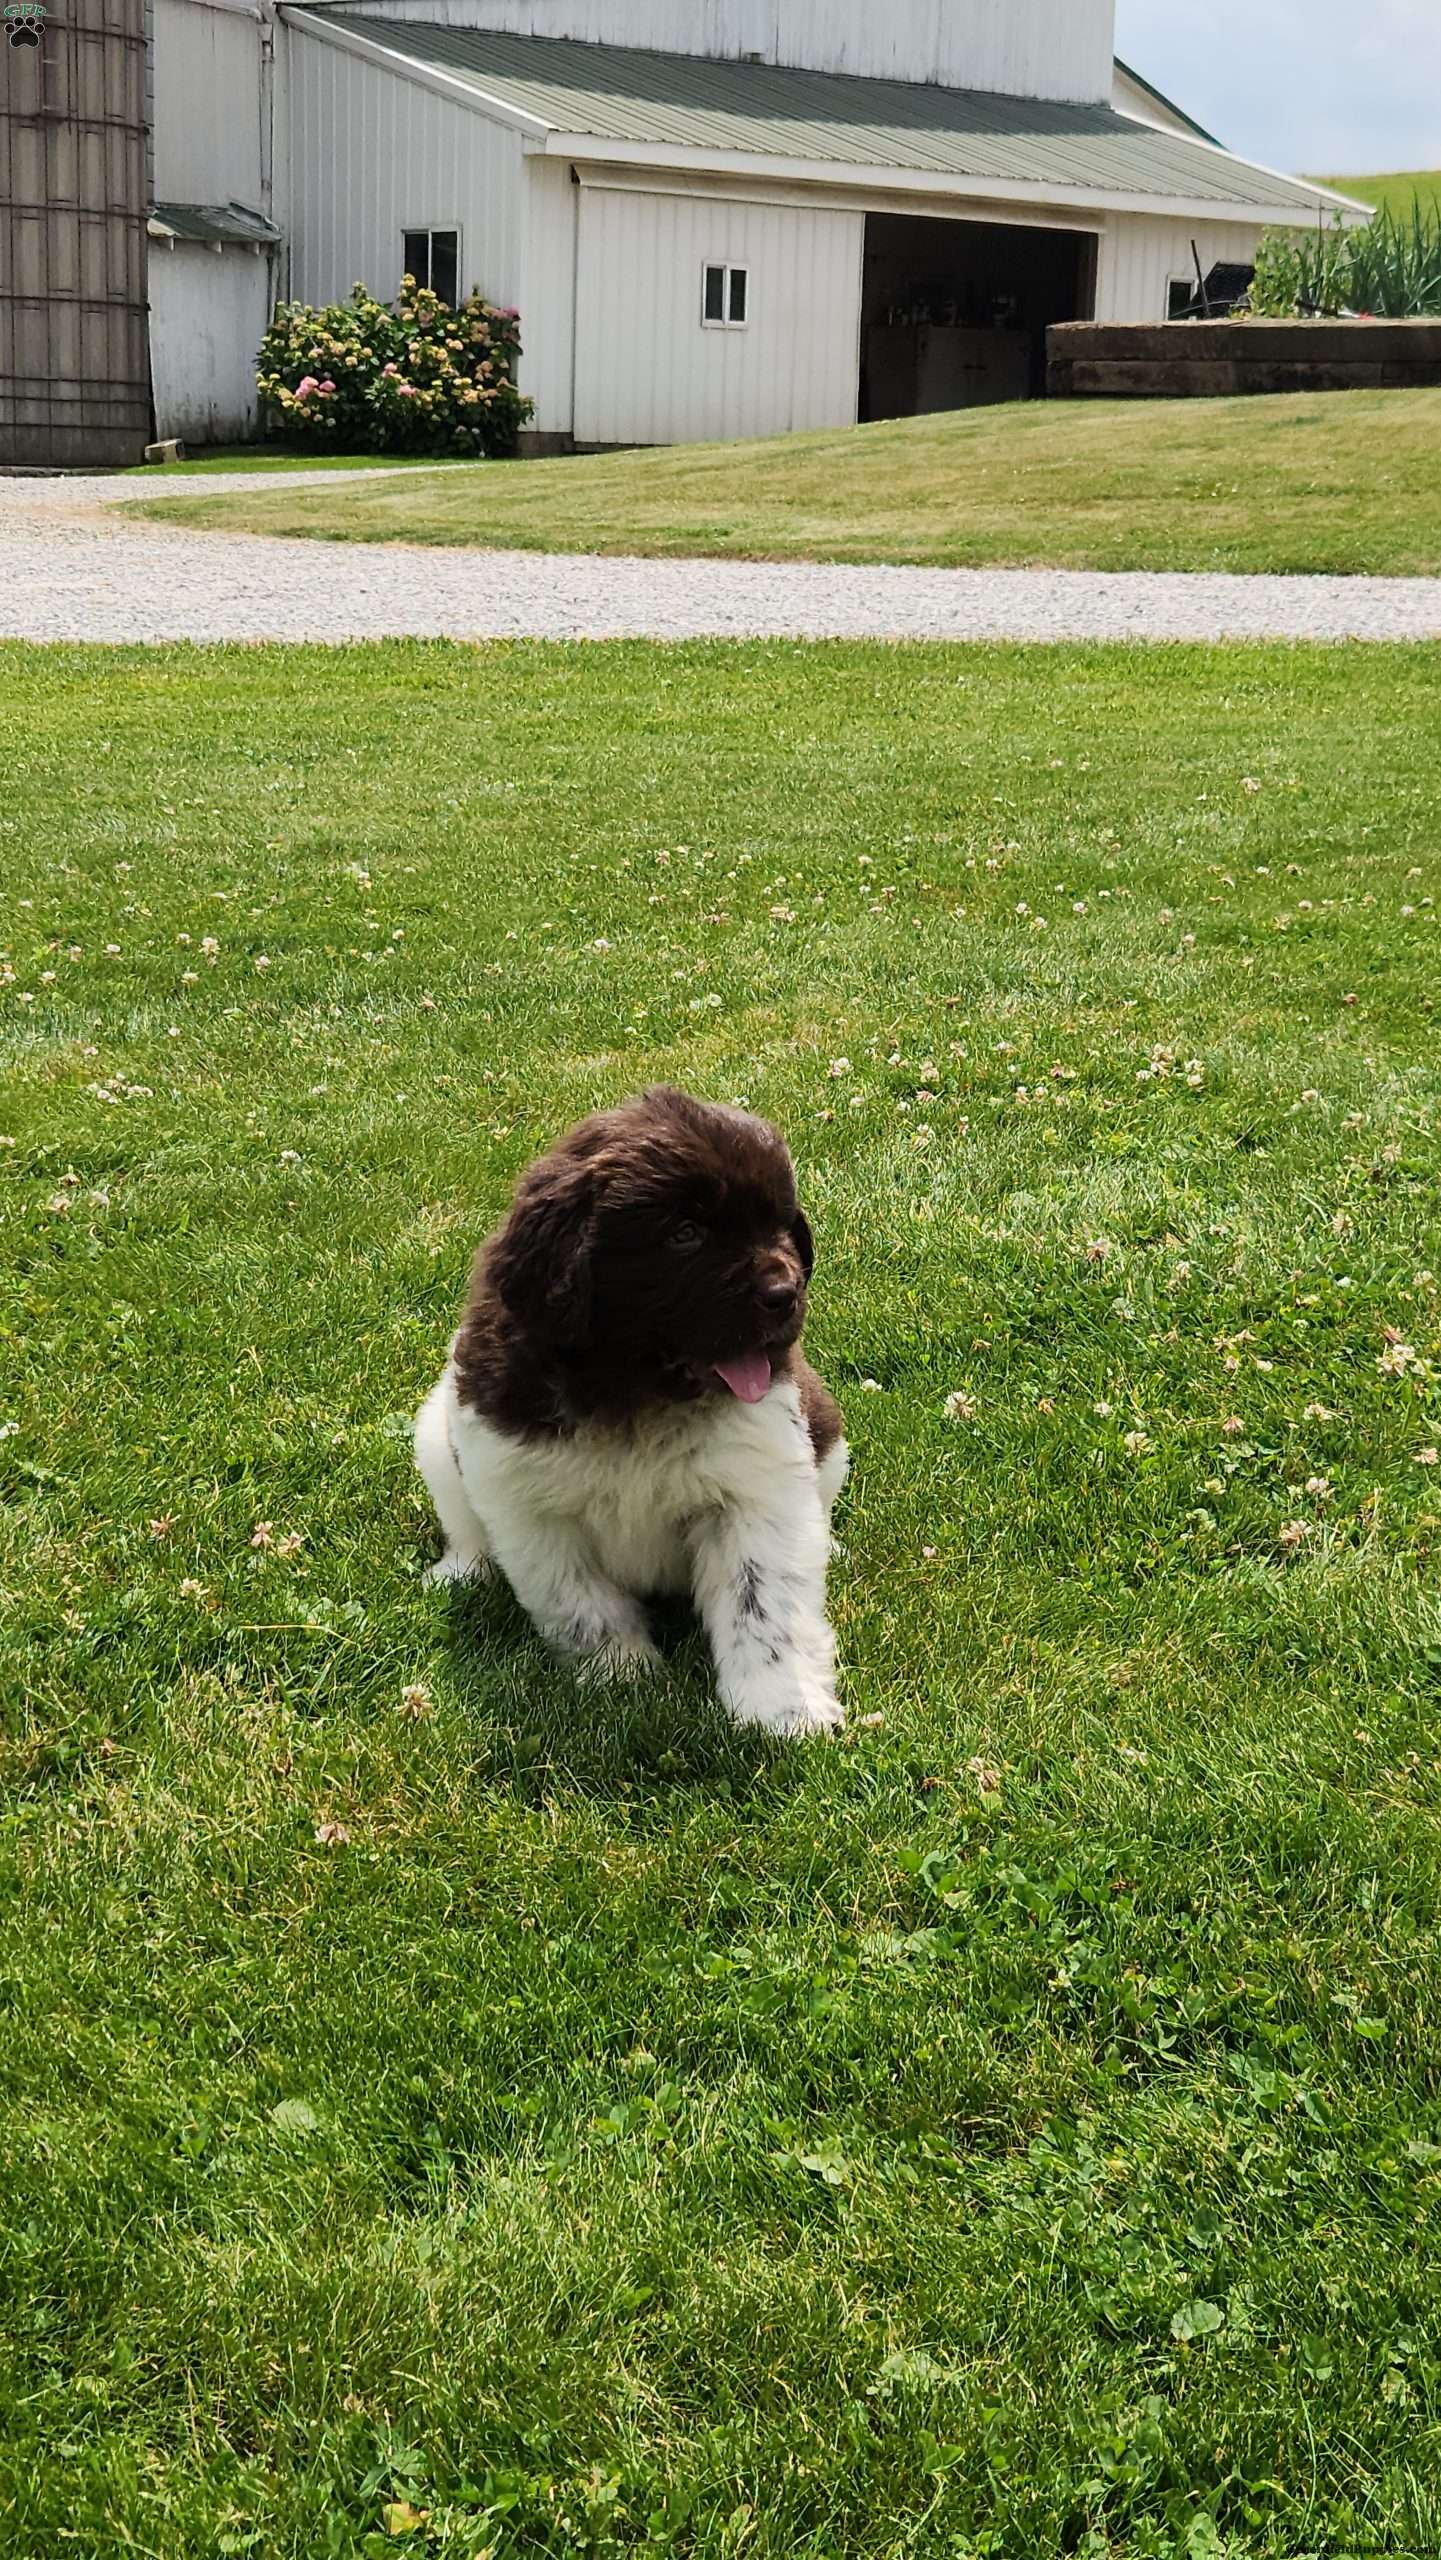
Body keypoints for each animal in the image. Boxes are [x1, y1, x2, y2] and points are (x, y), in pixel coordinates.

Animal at [417, 1085, 844, 1740]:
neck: (637, 1397)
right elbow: (580, 1602)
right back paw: (463, 1570)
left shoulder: (757, 1490)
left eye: (779, 1224)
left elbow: (764, 1606)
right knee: (465, 1526)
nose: (786, 1294)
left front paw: (782, 1710)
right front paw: (622, 1679)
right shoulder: (526, 1503)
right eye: (685, 1233)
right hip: (436, 1438)